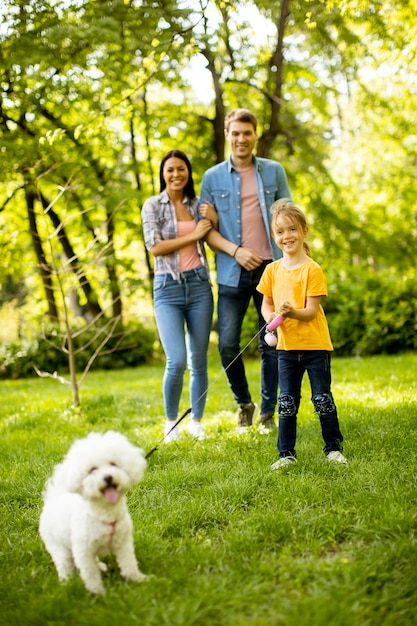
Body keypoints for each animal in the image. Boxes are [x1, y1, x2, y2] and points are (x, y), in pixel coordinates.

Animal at [39, 432, 149, 592]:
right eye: (92, 470)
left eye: (113, 464)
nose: (108, 477)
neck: (106, 514)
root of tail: (53, 498)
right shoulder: (83, 551)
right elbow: (90, 574)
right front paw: (97, 592)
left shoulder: (123, 543)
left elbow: (129, 563)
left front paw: (138, 579)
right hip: (57, 546)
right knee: (64, 564)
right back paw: (67, 582)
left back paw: (100, 566)